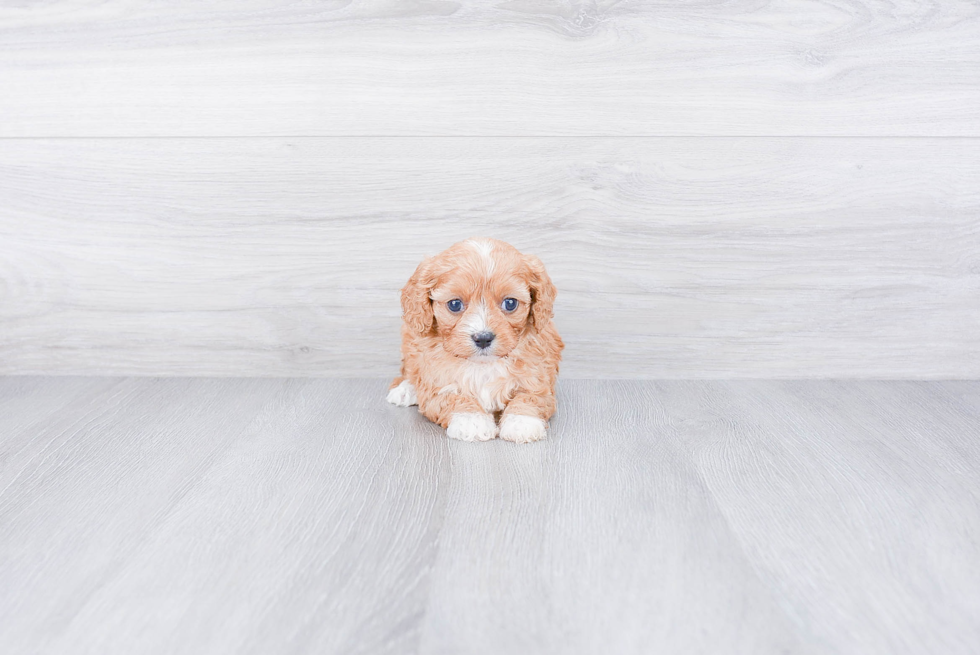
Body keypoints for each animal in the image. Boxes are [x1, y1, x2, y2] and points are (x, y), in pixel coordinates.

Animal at [386, 238, 564, 444]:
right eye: (454, 304)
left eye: (510, 303)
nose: (483, 338)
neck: (482, 365)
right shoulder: (436, 385)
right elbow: (453, 398)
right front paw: (472, 421)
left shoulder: (540, 378)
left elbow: (530, 397)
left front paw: (521, 422)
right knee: (409, 369)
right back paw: (405, 389)